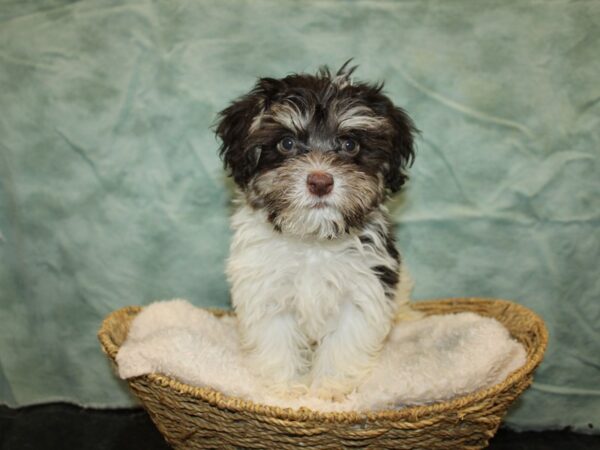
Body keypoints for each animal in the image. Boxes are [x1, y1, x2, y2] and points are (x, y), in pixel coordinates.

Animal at [218, 60, 420, 400]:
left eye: (350, 144)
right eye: (286, 143)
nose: (320, 182)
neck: (313, 241)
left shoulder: (364, 286)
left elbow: (344, 342)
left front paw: (329, 391)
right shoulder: (266, 289)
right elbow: (277, 340)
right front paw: (285, 390)